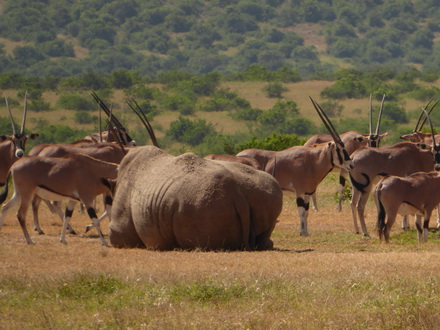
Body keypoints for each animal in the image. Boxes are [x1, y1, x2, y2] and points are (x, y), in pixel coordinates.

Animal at [237, 98, 354, 237]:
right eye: (338, 149)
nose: (351, 164)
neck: (312, 162)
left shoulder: (308, 192)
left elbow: (307, 212)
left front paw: (306, 231)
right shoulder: (299, 191)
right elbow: (301, 212)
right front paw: (302, 232)